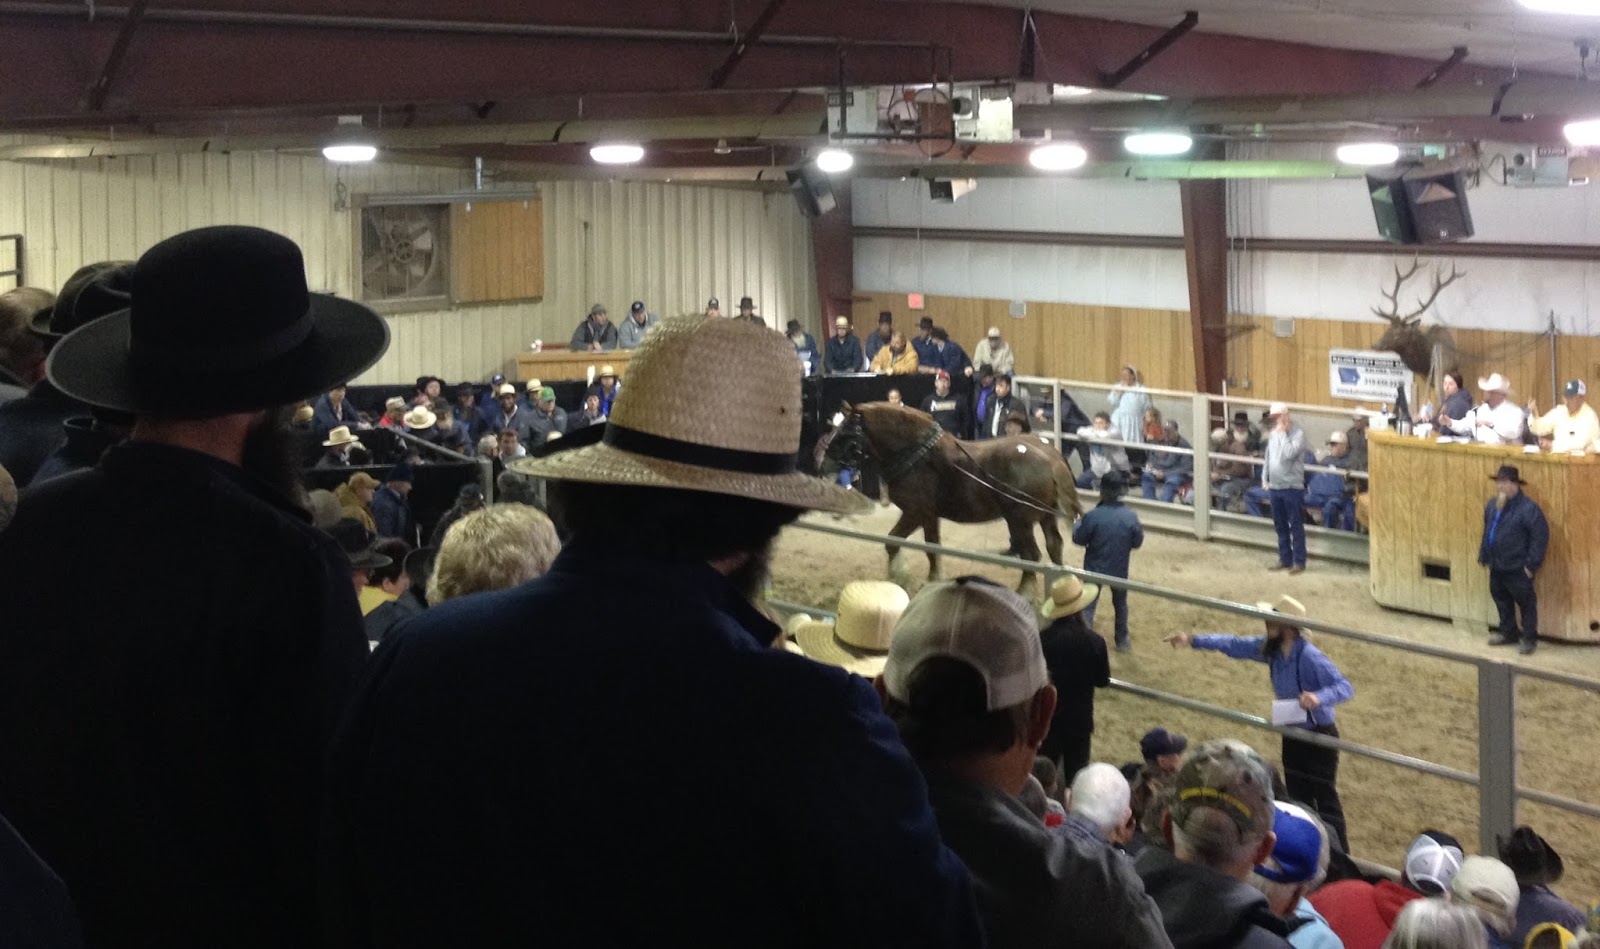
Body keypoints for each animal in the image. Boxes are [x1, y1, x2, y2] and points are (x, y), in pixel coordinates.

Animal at [828, 401, 1082, 595]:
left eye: (846, 430)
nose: (826, 455)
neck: (918, 453)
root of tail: (1050, 458)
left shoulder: (916, 512)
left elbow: (897, 542)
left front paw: (901, 575)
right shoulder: (929, 515)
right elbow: (928, 547)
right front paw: (923, 579)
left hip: (1020, 521)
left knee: (1032, 555)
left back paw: (1025, 593)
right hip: (1045, 517)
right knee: (1054, 546)